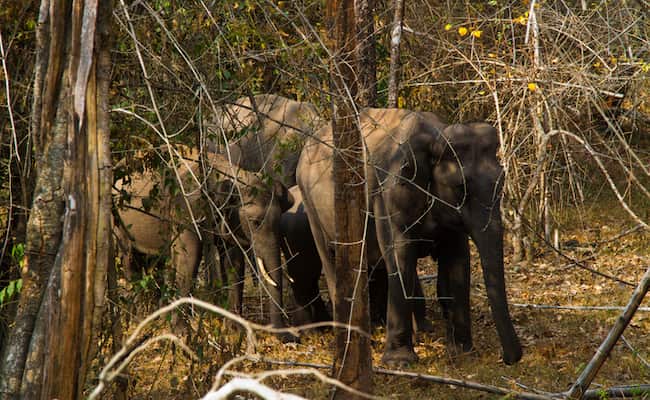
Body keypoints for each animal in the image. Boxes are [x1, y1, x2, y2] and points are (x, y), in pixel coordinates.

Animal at [114, 147, 295, 338]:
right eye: (255, 222)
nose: (289, 337)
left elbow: (234, 263)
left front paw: (235, 330)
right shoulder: (186, 209)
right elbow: (190, 257)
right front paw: (182, 333)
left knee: (155, 262)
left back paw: (156, 317)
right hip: (119, 220)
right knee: (130, 259)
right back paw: (137, 320)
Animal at [297, 108, 522, 366]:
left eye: (502, 182)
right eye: (460, 187)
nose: (509, 359)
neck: (435, 135)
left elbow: (458, 260)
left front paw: (462, 352)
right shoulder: (388, 195)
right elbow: (400, 255)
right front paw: (399, 362)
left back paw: (416, 329)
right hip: (311, 206)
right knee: (333, 260)